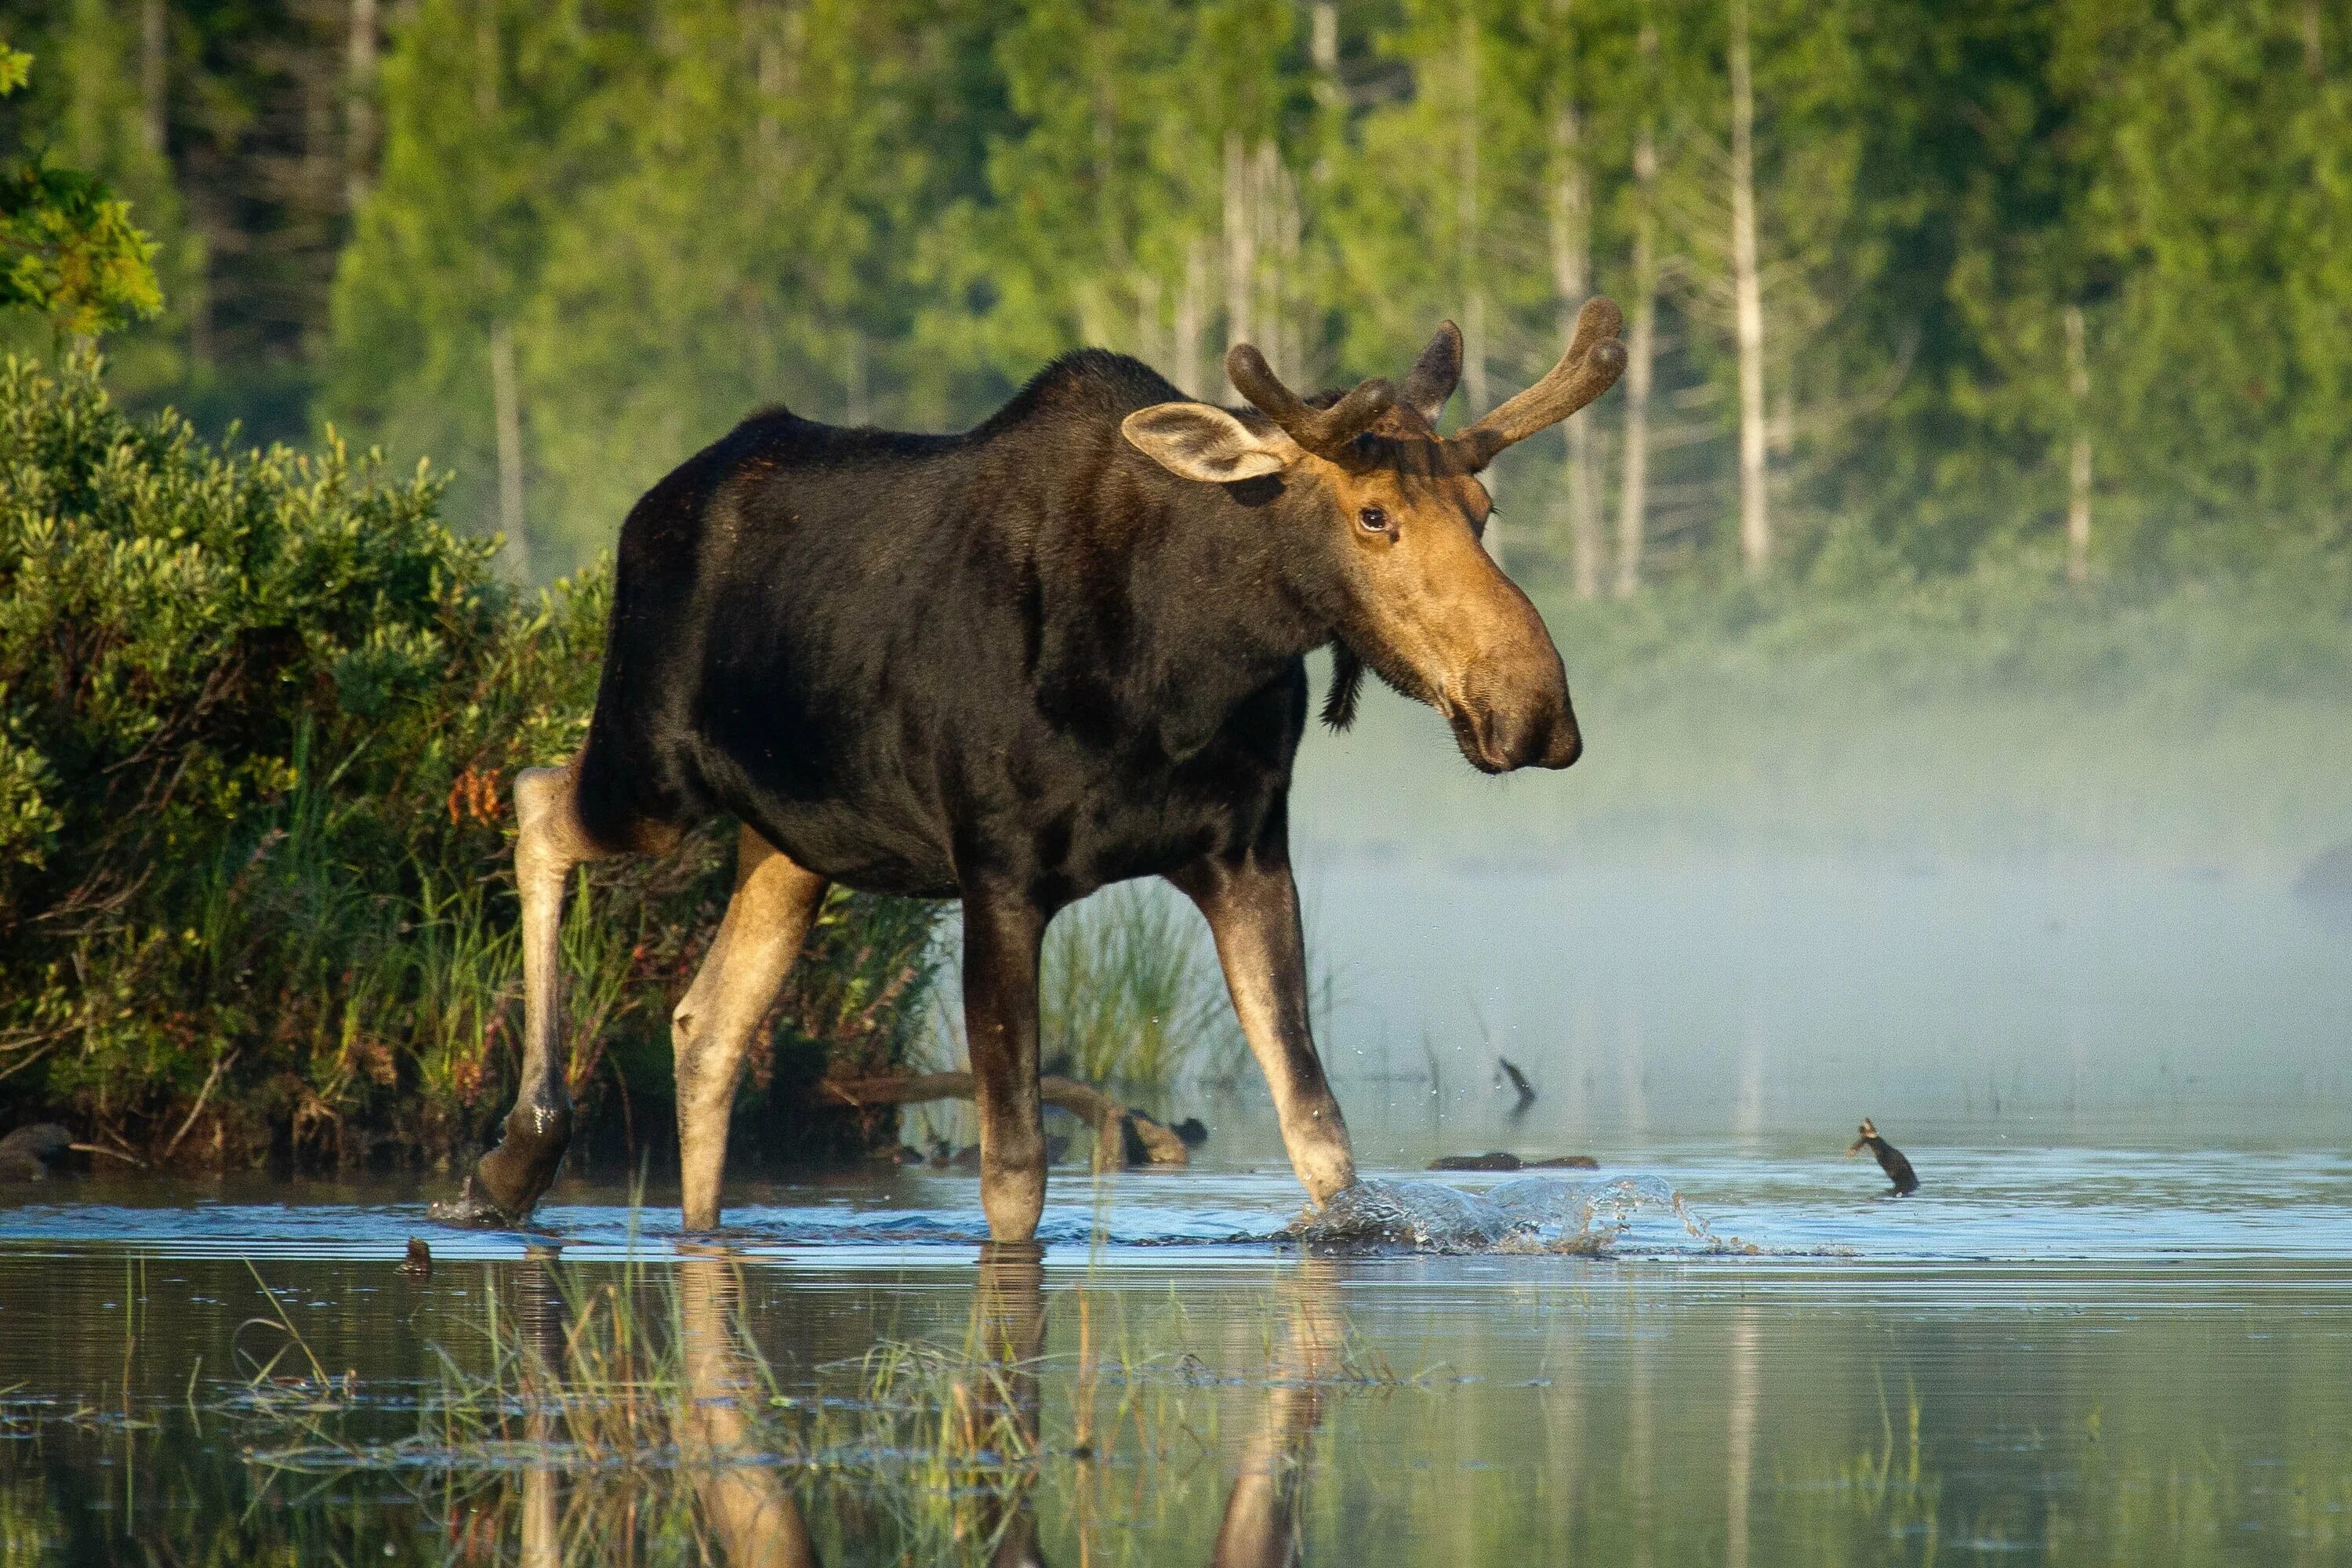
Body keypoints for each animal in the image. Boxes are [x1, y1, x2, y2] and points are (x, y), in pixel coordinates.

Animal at [437, 300, 1618, 1241]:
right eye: (1374, 515)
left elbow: (1320, 1135)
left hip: (791, 842)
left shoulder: (1244, 855)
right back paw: (514, 1156)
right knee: (536, 800)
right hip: (653, 767)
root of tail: (648, 510)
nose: (1537, 711)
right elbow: (1013, 1173)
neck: (1184, 663)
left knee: (706, 1025)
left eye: (1484, 512)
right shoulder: (998, 872)